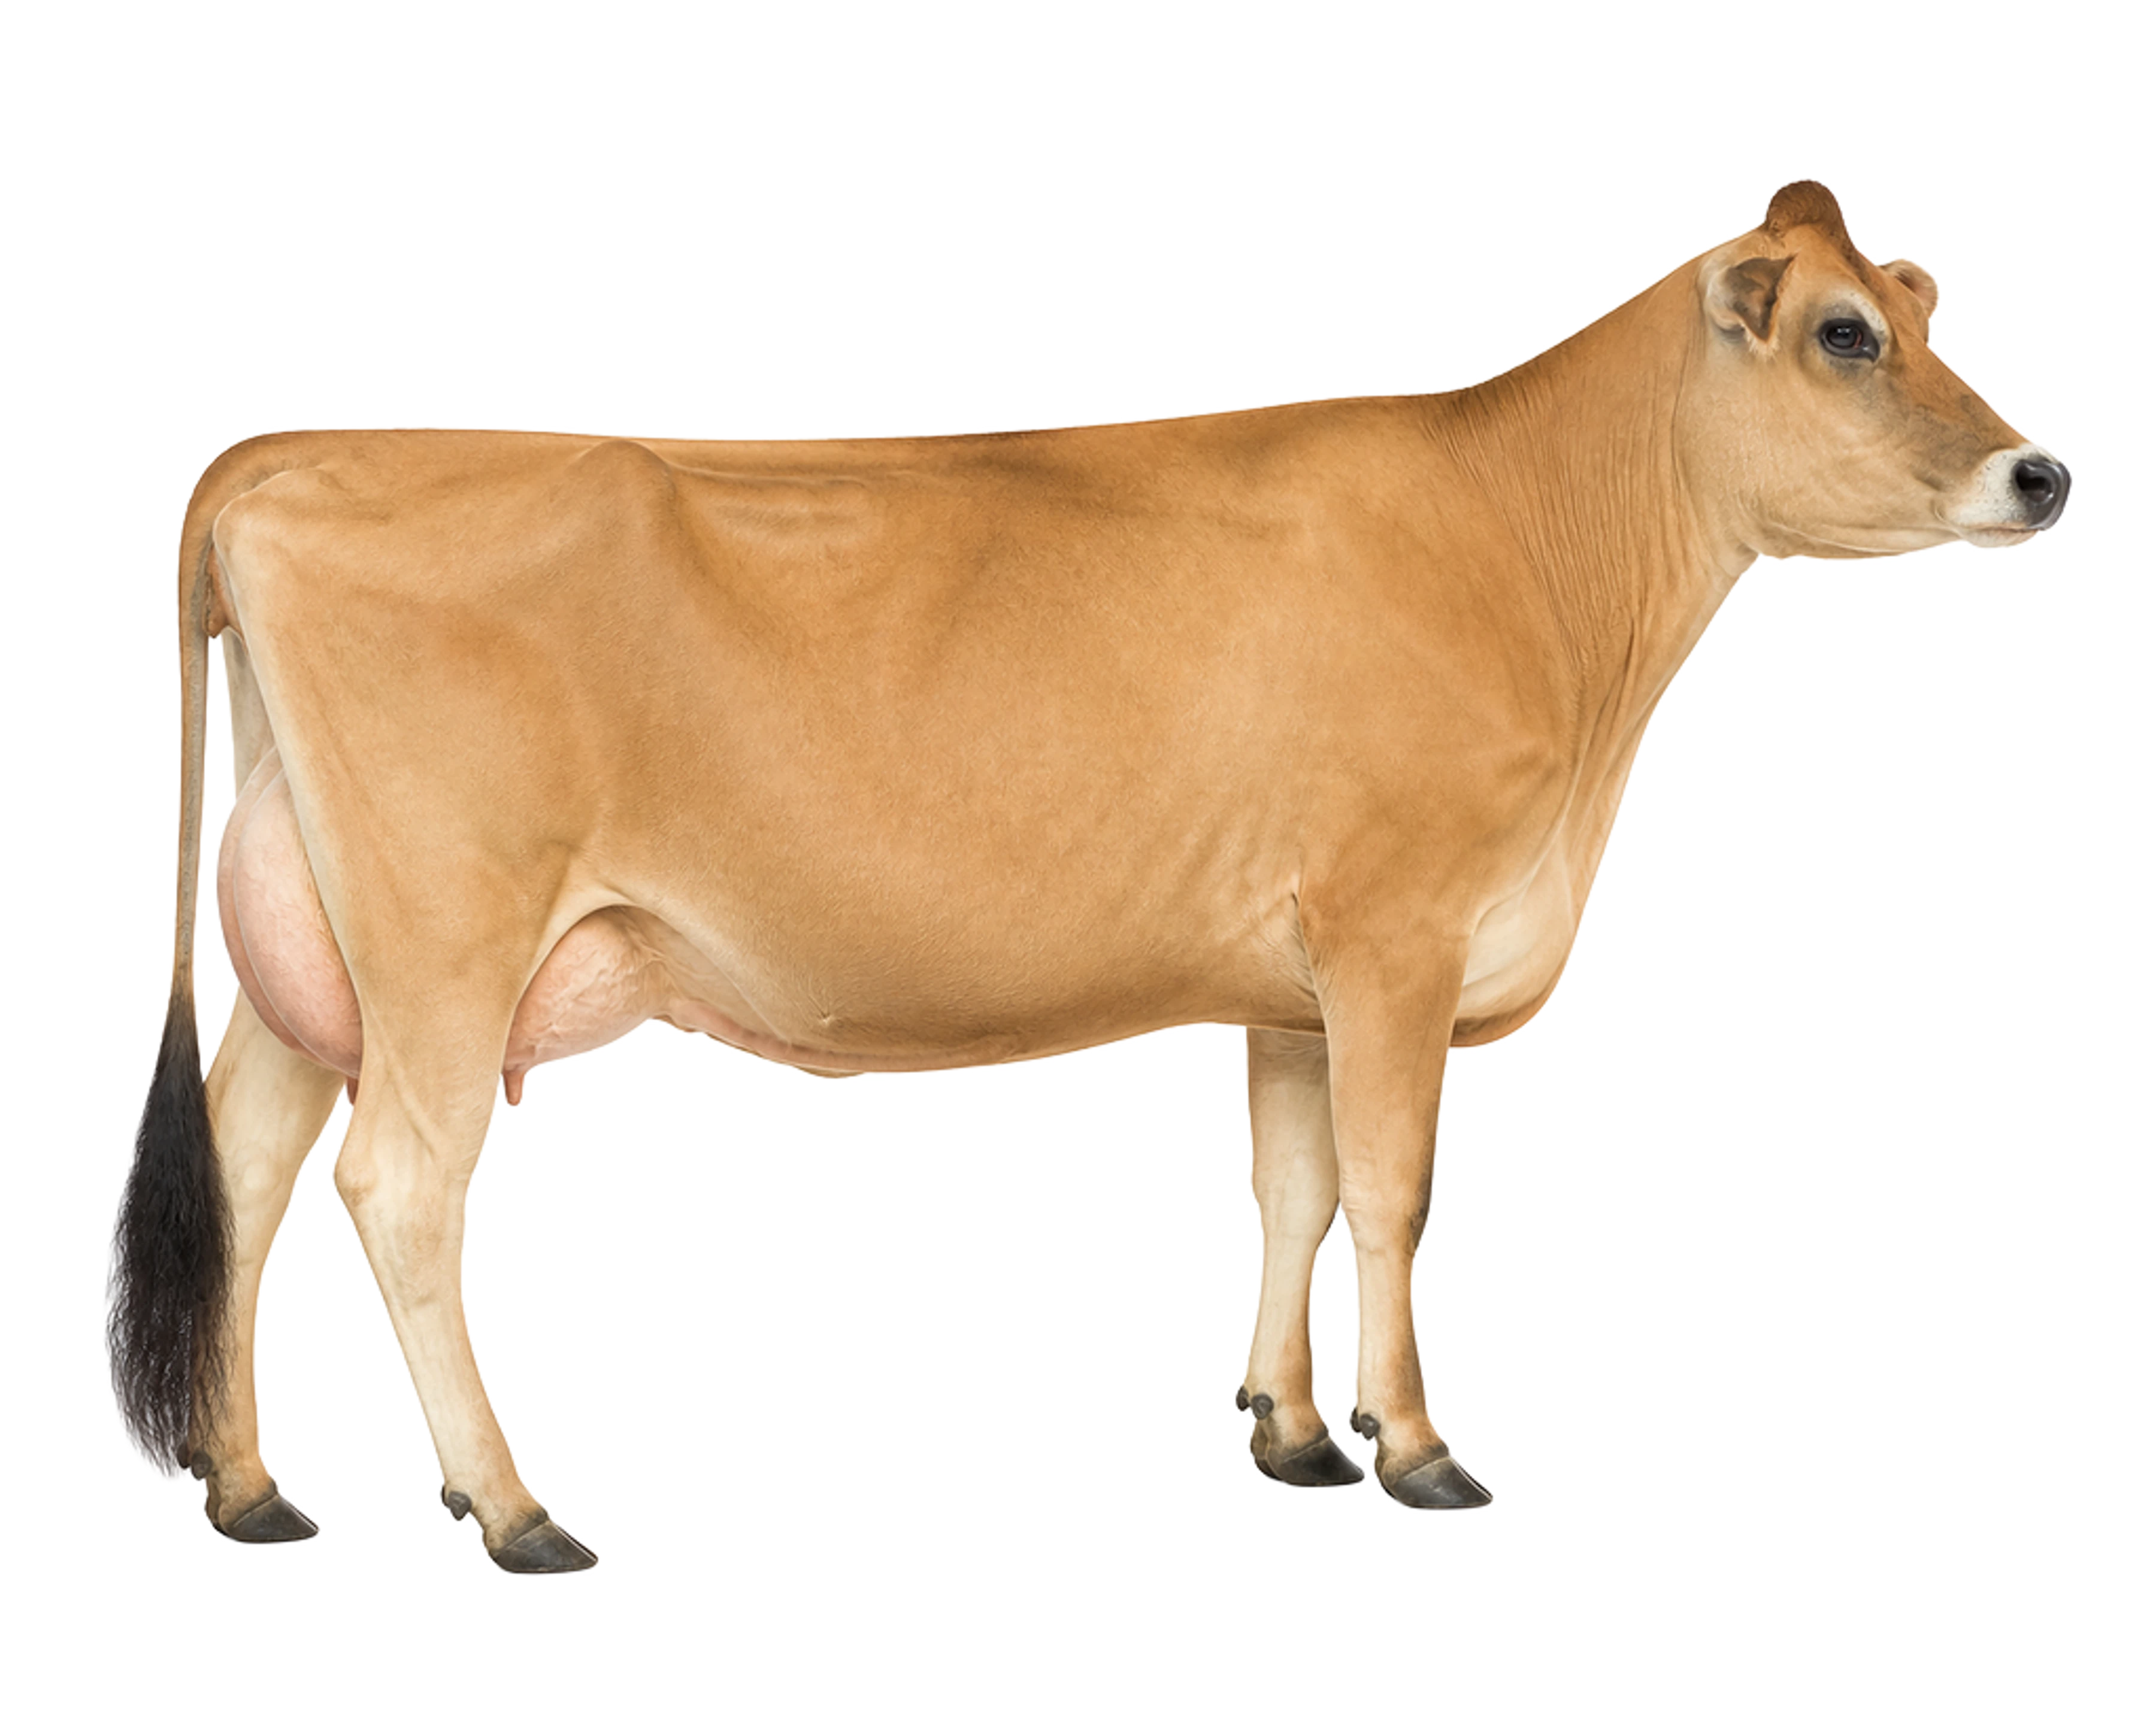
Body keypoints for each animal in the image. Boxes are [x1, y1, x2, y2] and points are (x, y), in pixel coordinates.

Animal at [109, 181, 2070, 1572]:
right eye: (1842, 335)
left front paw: (1293, 1432)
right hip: (446, 944)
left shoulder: (1293, 976)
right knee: (396, 1188)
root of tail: (293, 453)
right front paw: (1422, 1451)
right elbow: (1396, 1189)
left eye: (1924, 306)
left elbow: (1294, 1189)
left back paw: (252, 1490)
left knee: (248, 1158)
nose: (2040, 472)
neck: (1531, 551)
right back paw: (515, 1512)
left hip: (318, 952)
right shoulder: (1397, 932)